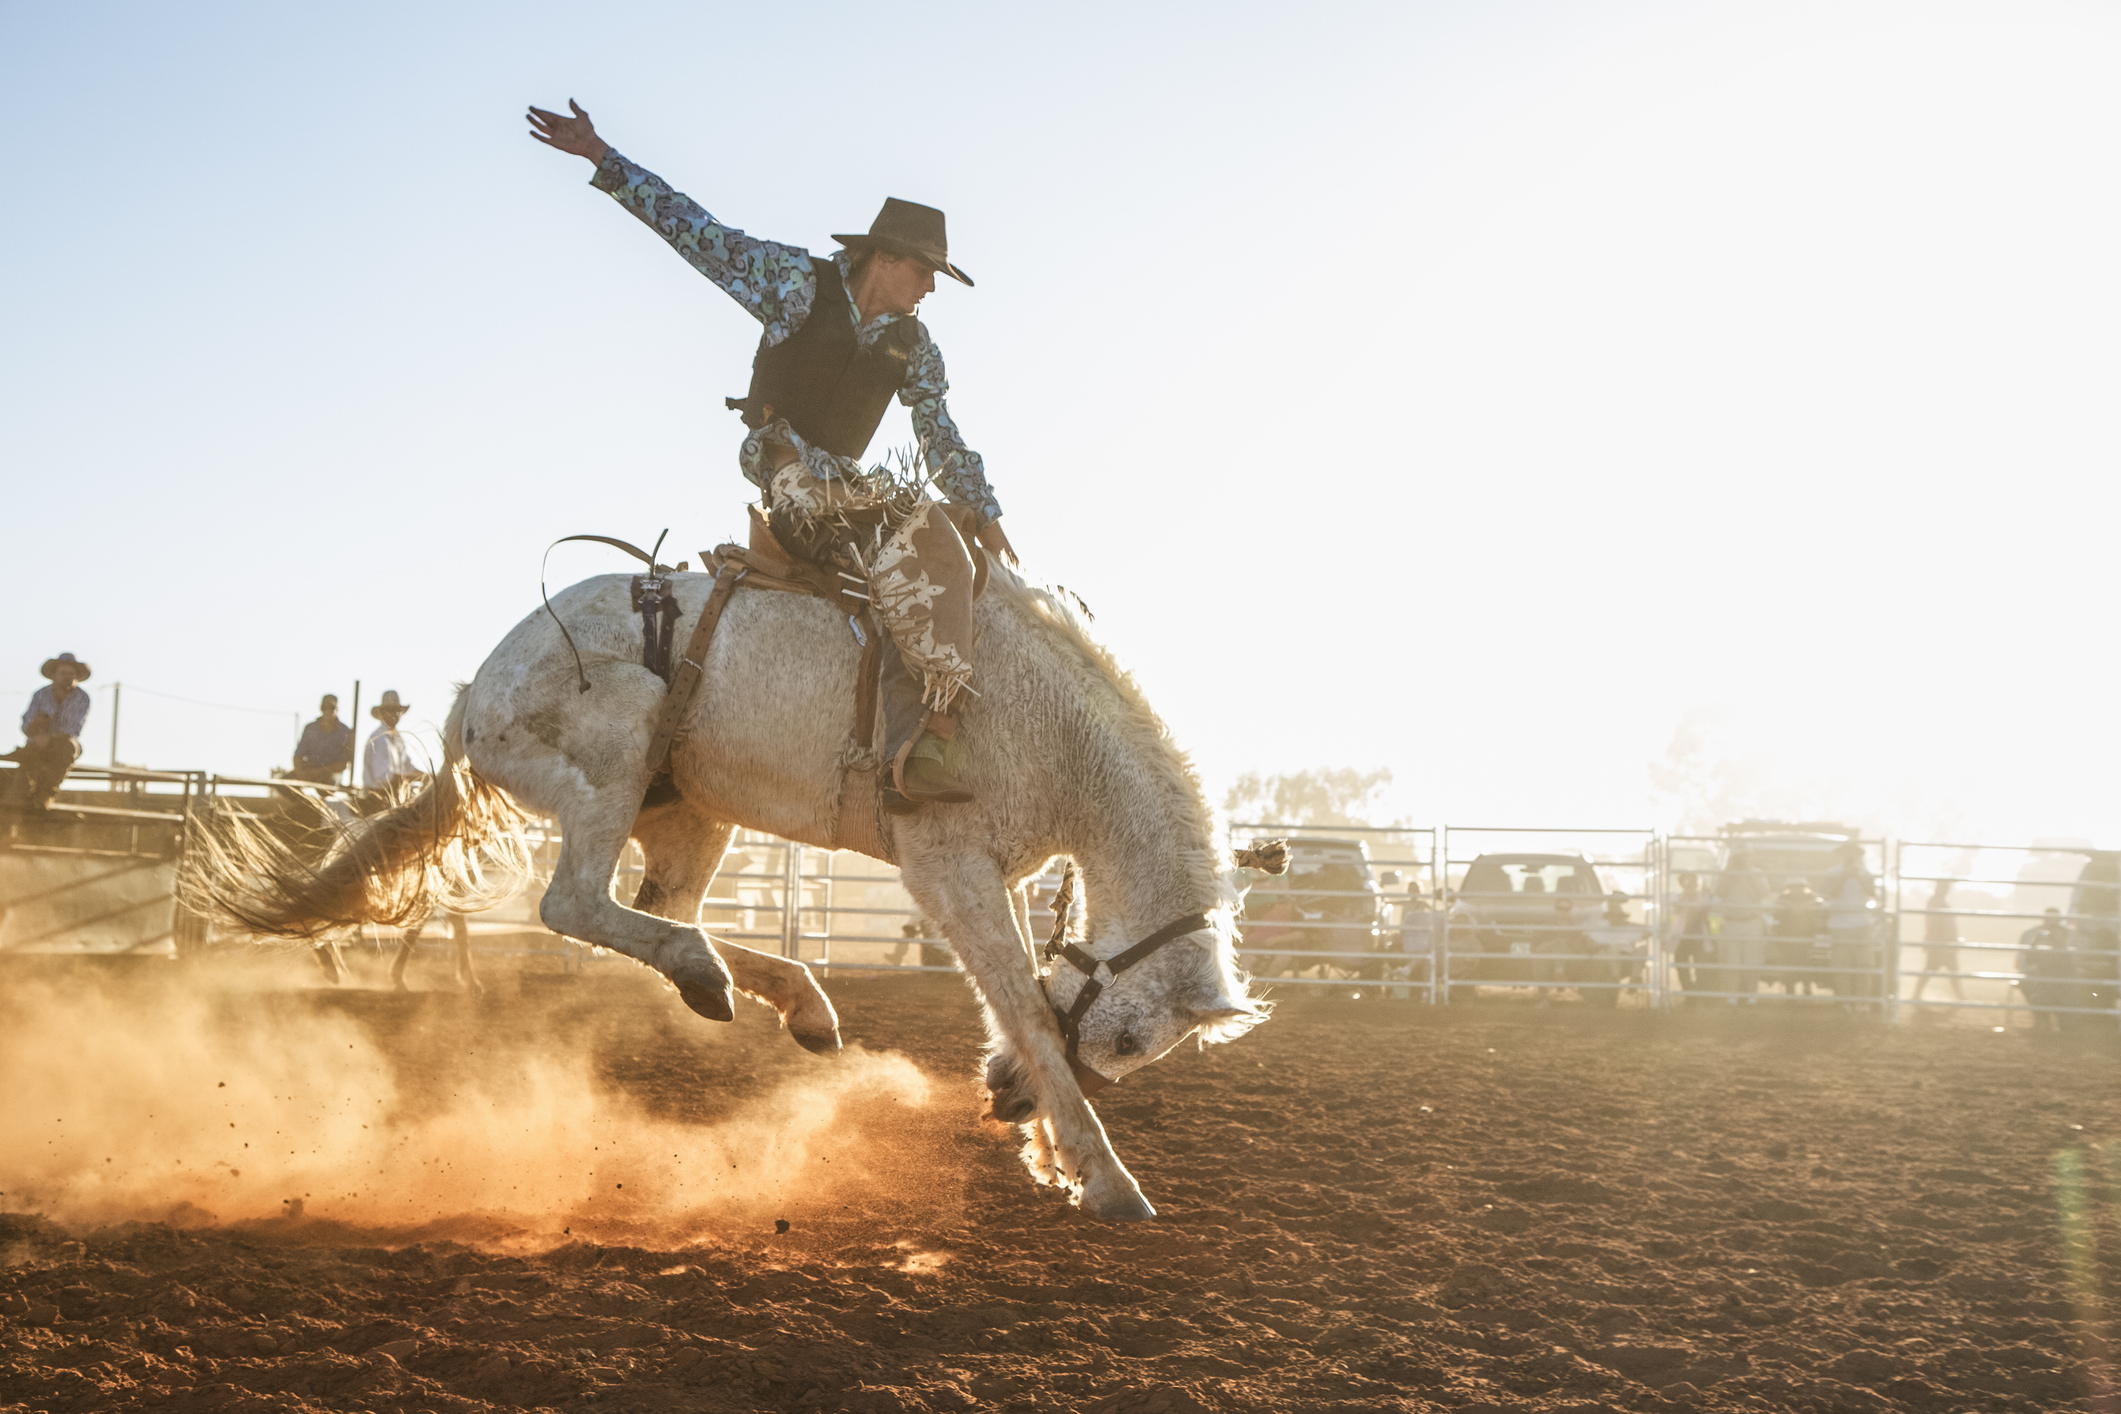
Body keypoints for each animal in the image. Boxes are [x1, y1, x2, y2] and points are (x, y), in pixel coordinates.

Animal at [190, 554, 1274, 1221]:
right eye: (1131, 1041)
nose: (1002, 1108)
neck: (1045, 721)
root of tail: (474, 698)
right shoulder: (947, 863)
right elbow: (1033, 1012)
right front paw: (1102, 1176)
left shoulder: (993, 873)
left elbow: (1022, 1006)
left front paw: (1044, 1145)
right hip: (617, 748)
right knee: (574, 905)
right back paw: (721, 977)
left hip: (691, 809)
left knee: (658, 909)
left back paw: (780, 998)